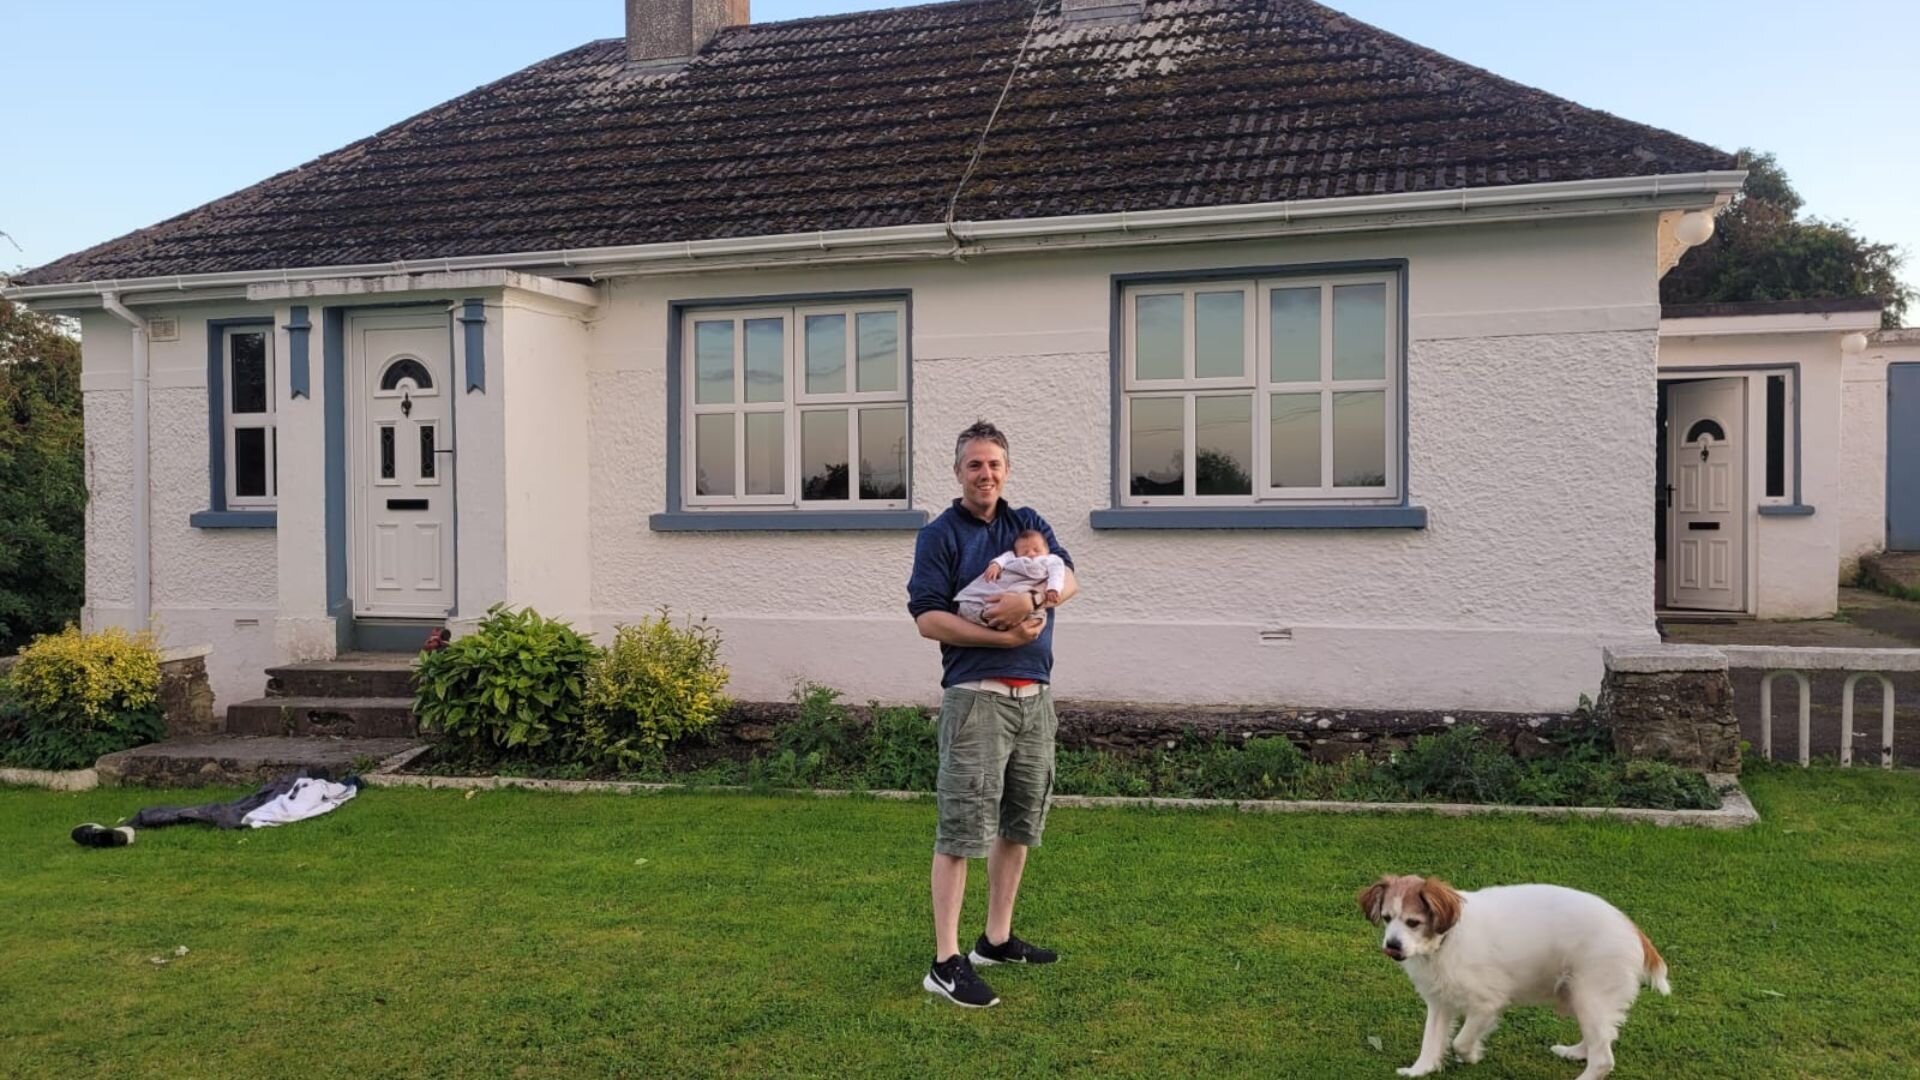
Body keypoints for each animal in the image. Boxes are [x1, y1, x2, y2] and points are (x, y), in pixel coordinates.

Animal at [1358, 875, 1669, 1080]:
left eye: (1413, 922)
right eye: (1386, 918)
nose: (1392, 946)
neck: (1446, 941)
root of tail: (1633, 929)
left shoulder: (1488, 1004)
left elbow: (1460, 1041)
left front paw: (1471, 1055)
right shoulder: (1439, 1002)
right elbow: (1431, 1041)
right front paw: (1419, 1070)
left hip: (1590, 994)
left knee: (1603, 1058)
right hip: (1580, 997)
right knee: (1601, 1039)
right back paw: (1573, 1052)